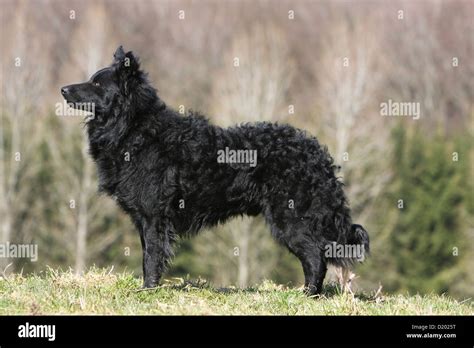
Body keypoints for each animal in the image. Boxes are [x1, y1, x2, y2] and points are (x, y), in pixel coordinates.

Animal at [61, 46, 368, 294]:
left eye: (96, 83)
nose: (63, 89)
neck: (135, 127)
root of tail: (318, 155)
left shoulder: (153, 216)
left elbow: (152, 257)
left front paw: (146, 291)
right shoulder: (145, 219)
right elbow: (148, 254)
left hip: (291, 220)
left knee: (316, 257)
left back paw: (308, 295)